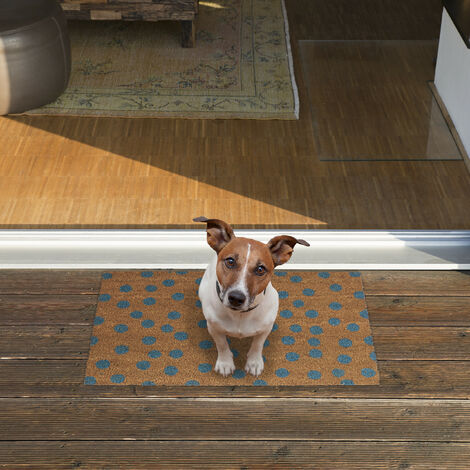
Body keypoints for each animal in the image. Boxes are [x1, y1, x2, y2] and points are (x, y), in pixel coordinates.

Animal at [191, 218, 308, 378]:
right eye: (230, 261)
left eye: (260, 269)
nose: (236, 298)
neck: (240, 315)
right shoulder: (214, 328)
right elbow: (222, 345)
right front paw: (225, 363)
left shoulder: (266, 328)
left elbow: (257, 345)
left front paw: (254, 363)